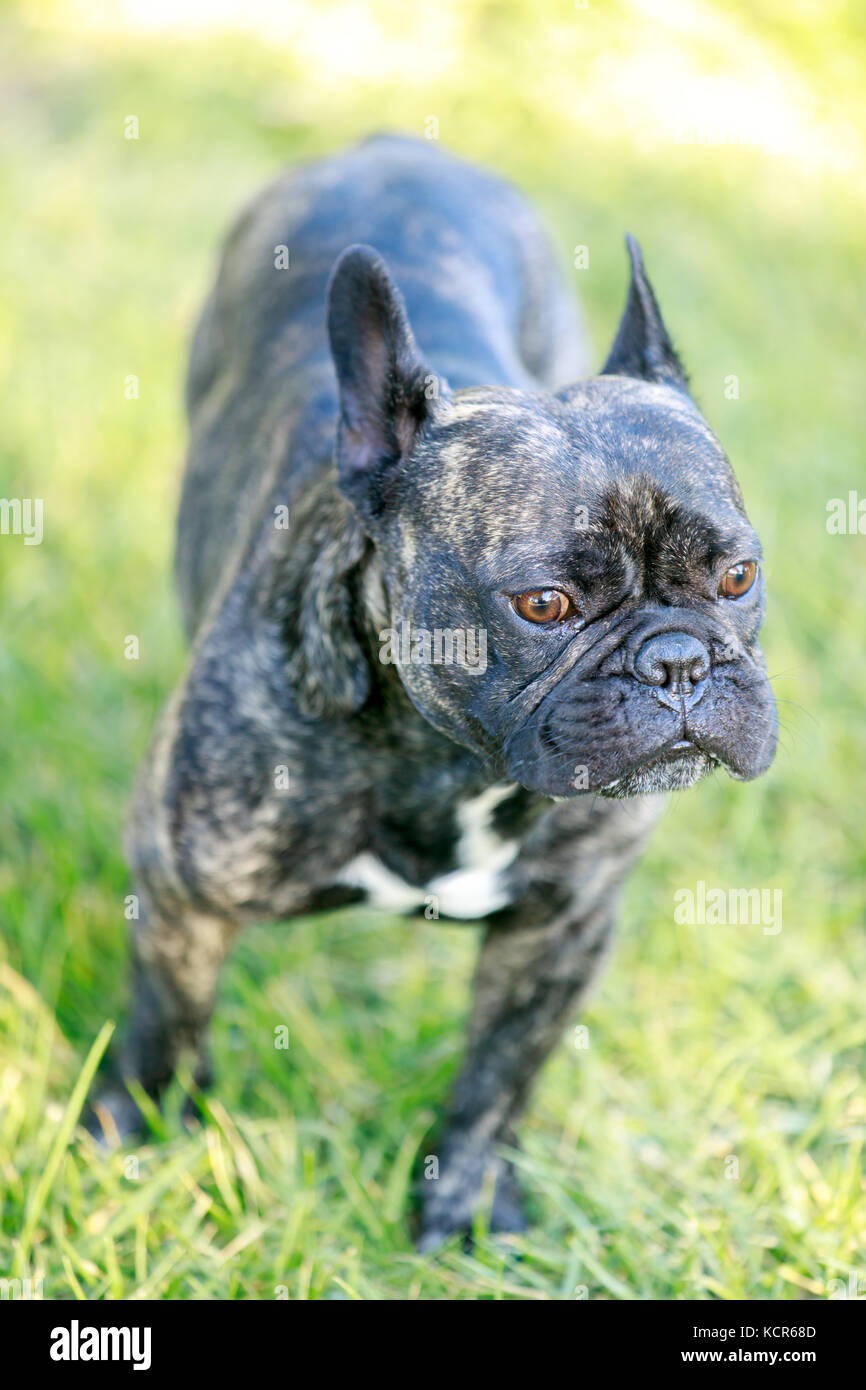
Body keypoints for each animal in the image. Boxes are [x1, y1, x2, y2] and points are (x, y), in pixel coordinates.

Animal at [89, 135, 778, 1245]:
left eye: (736, 577)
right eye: (543, 603)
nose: (676, 661)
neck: (448, 764)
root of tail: (390, 144)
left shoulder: (558, 931)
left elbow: (499, 1072)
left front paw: (466, 1201)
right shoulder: (183, 896)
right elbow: (168, 1023)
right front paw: (134, 1134)